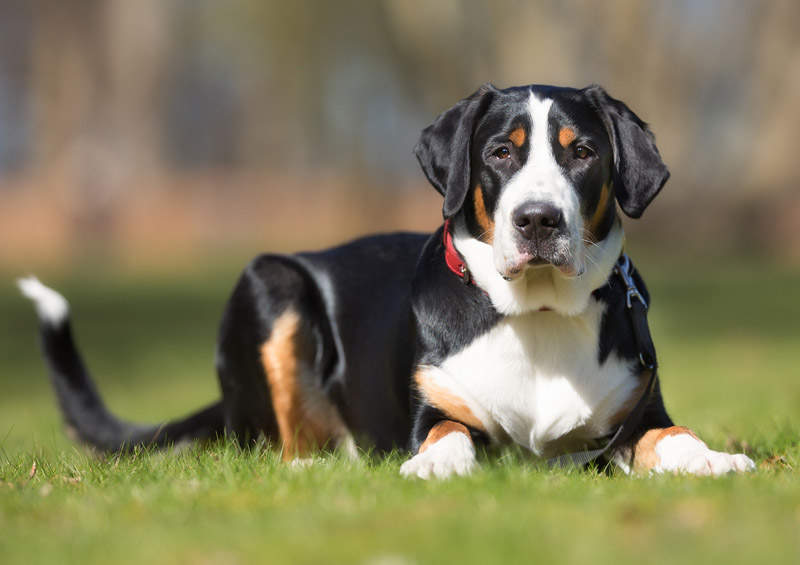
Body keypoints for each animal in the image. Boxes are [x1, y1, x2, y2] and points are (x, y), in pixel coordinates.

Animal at [18, 83, 756, 476]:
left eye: (583, 153)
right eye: (500, 152)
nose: (538, 220)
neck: (537, 316)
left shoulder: (634, 416)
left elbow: (670, 435)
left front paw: (711, 459)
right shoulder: (434, 408)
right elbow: (446, 433)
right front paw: (434, 463)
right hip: (271, 282)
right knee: (285, 446)